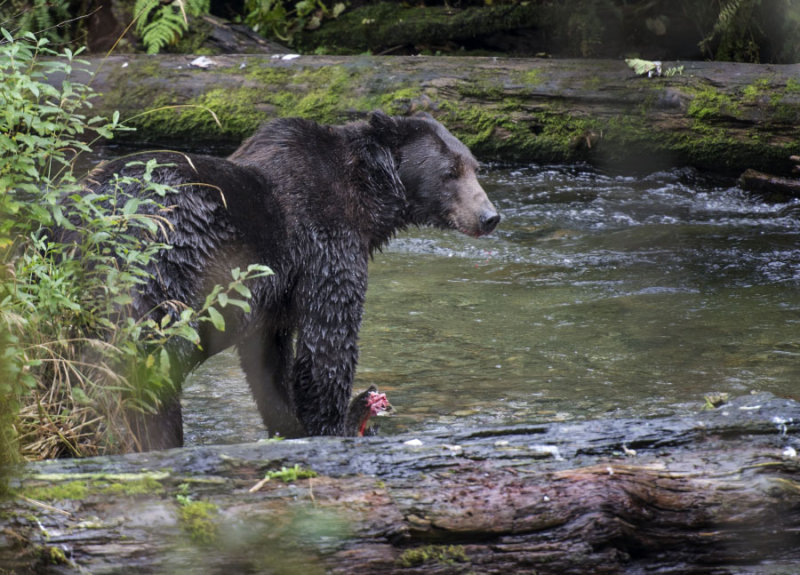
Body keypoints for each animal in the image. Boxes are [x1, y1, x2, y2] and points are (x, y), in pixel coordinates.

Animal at [78, 109, 496, 450]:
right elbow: (327, 342)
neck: (368, 200)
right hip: (162, 274)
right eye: (449, 172)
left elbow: (269, 359)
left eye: (475, 167)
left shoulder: (276, 294)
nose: (490, 216)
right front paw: (337, 424)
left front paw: (291, 424)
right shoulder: (325, 244)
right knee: (147, 367)